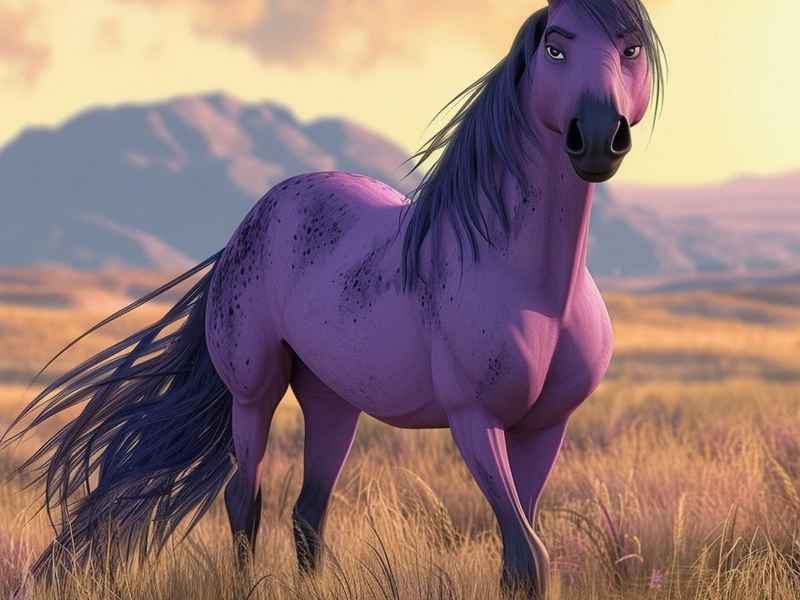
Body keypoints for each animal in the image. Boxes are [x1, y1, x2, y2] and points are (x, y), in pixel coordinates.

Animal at [3, 1, 665, 597]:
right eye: (555, 47)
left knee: (308, 513)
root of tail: (254, 218)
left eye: (631, 48)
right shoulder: (475, 421)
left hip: (333, 399)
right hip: (255, 392)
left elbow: (519, 557)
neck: (533, 286)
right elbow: (529, 556)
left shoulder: (546, 428)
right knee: (245, 499)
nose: (597, 138)